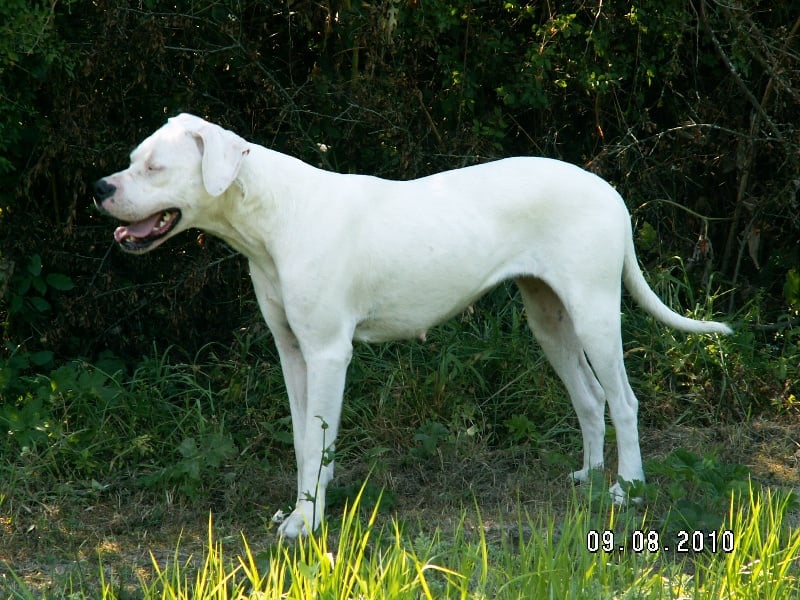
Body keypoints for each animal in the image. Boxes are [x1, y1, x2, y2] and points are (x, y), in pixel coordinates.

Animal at [94, 113, 732, 540]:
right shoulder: (293, 353)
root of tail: (611, 192)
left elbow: (317, 443)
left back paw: (629, 490)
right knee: (591, 399)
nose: (101, 187)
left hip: (595, 313)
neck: (274, 213)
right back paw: (591, 478)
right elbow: (303, 441)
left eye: (154, 167)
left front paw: (308, 523)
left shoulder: (328, 353)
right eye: (130, 159)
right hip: (550, 320)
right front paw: (301, 509)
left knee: (623, 401)